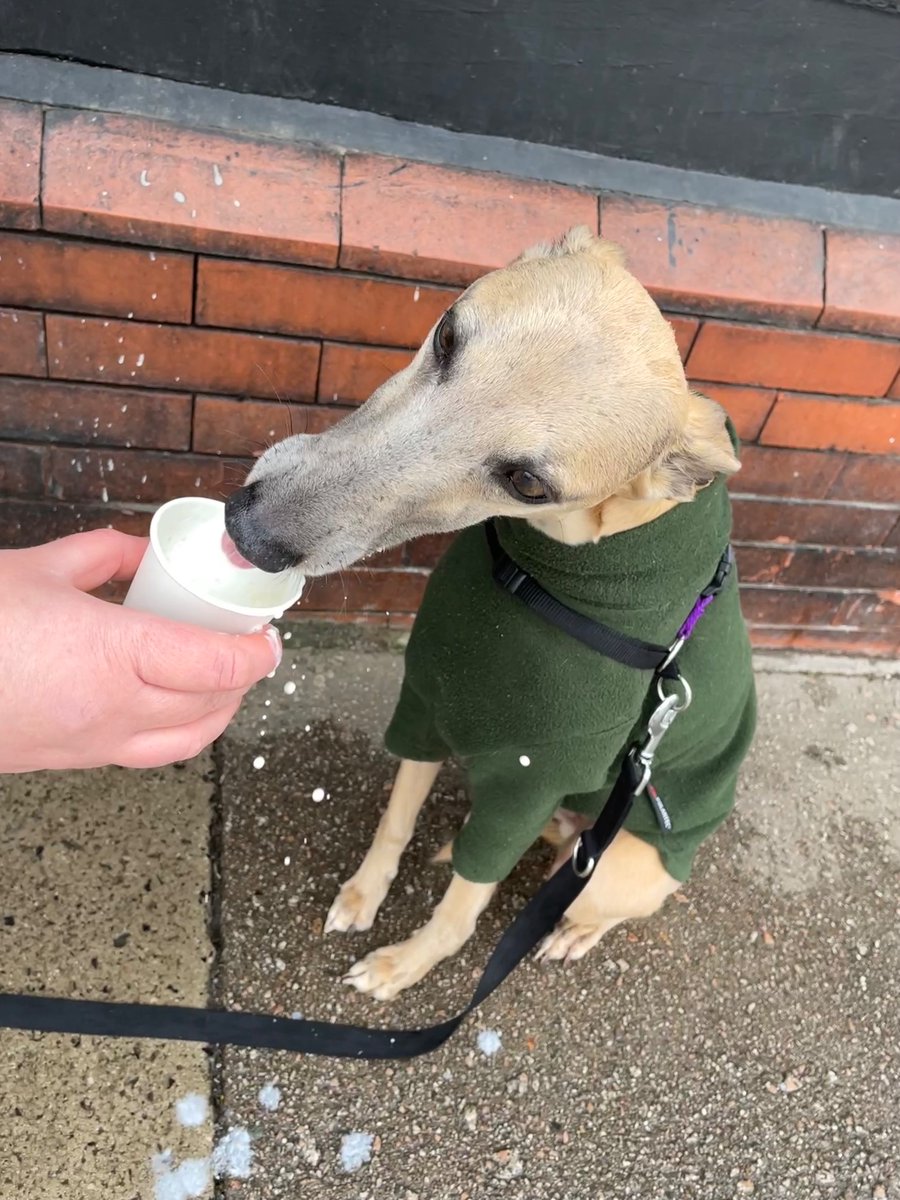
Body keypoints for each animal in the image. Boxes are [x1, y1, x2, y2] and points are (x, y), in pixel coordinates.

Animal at [224, 226, 753, 1003]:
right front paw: (362, 896)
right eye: (448, 335)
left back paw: (568, 931)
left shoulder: (527, 779)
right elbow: (396, 820)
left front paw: (402, 966)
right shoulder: (427, 698)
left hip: (617, 866)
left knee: (579, 900)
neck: (537, 579)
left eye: (528, 482)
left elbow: (463, 910)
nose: (250, 532)